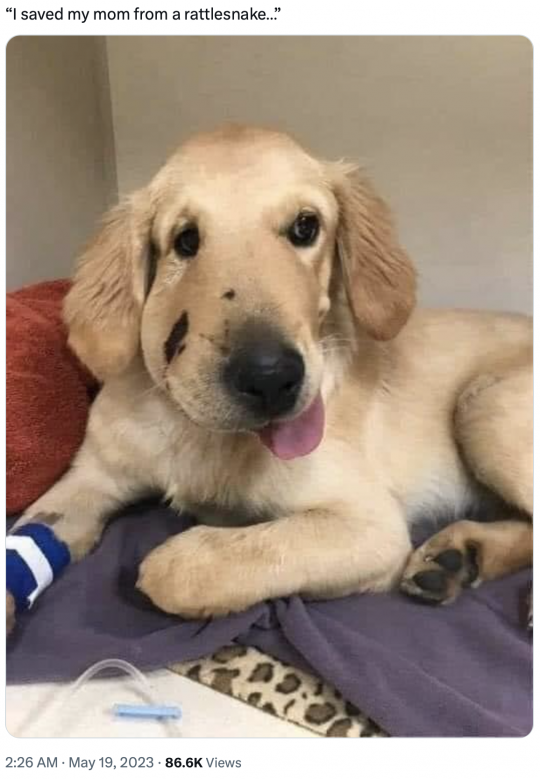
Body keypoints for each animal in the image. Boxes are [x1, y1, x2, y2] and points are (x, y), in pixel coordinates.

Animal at [7, 124, 532, 631]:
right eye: (185, 239)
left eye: (305, 226)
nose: (271, 378)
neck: (194, 426)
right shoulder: (89, 478)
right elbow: (28, 534)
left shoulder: (369, 524)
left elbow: (183, 566)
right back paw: (456, 558)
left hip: (485, 406)